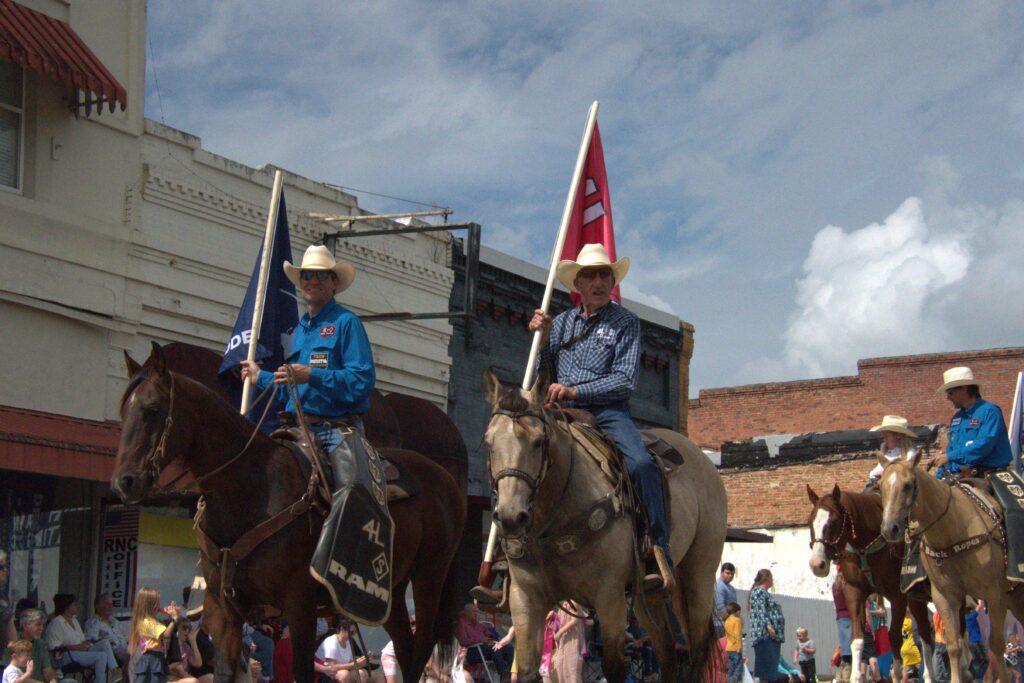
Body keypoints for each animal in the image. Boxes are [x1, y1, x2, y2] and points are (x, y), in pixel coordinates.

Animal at [112, 348, 464, 683]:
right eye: (124, 410)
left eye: (152, 409)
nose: (124, 481)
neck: (249, 489)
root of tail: (446, 480)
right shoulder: (224, 610)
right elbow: (226, 671)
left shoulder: (299, 604)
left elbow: (302, 672)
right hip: (390, 592)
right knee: (404, 646)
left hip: (429, 576)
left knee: (421, 648)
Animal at [481, 370, 729, 679]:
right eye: (489, 442)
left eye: (539, 441)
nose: (511, 517)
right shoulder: (525, 599)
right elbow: (526, 671)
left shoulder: (609, 599)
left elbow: (614, 668)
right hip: (650, 596)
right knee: (667, 651)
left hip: (698, 578)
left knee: (696, 652)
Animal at [806, 483, 937, 679]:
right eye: (810, 521)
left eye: (834, 521)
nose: (817, 564)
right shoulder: (854, 593)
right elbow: (857, 640)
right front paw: (855, 676)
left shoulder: (898, 596)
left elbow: (894, 637)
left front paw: (897, 675)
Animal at [876, 450, 1024, 679]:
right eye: (881, 485)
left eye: (908, 485)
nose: (889, 529)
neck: (953, 530)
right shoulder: (945, 597)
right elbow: (954, 645)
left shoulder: (995, 595)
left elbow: (996, 645)